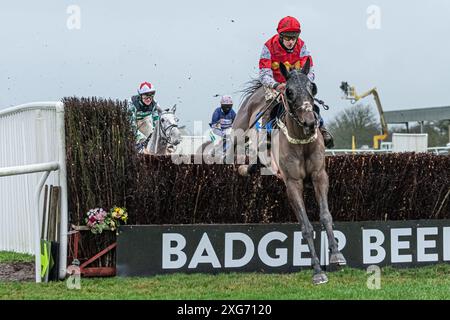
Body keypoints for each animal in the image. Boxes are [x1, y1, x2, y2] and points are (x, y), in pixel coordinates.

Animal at [230, 58, 346, 284]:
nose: (310, 122)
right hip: (237, 135)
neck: (301, 141)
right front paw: (318, 271)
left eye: (312, 87)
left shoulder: (319, 176)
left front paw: (336, 255)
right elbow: (306, 226)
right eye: (289, 92)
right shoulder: (292, 183)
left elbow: (325, 215)